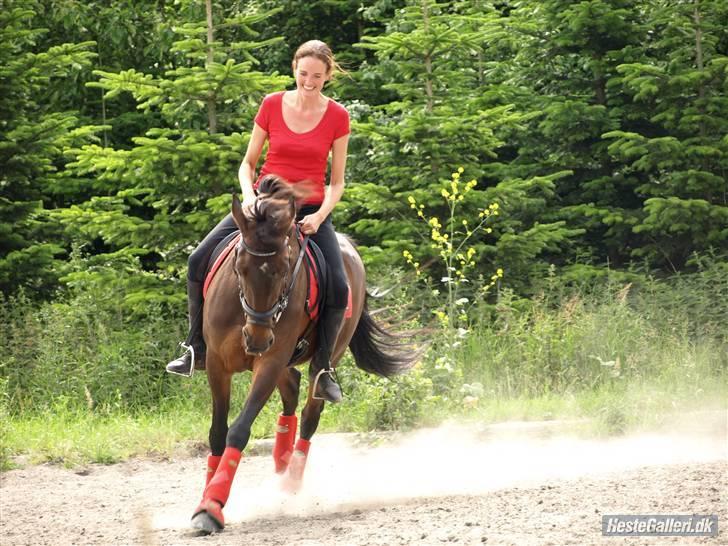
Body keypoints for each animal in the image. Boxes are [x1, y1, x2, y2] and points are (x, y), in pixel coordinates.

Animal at [189, 174, 416, 532]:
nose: (256, 339)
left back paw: (291, 480)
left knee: (310, 411)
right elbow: (217, 432)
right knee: (291, 392)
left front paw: (212, 507)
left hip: (323, 354)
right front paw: (206, 499)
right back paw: (281, 460)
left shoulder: (270, 361)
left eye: (285, 269)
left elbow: (239, 430)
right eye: (239, 266)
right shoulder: (217, 364)